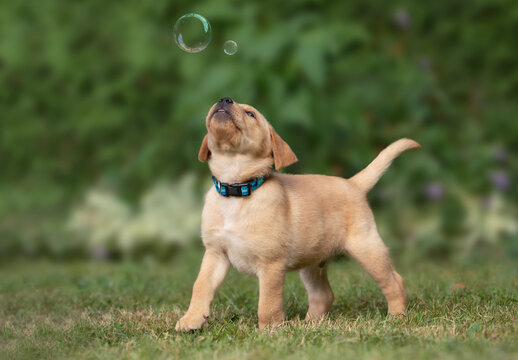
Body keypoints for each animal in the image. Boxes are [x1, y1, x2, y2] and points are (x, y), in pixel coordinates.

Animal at [177, 97, 420, 330]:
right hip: (313, 262)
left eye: (250, 113)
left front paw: (270, 330)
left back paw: (397, 317)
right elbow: (200, 287)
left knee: (394, 281)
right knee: (324, 295)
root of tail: (353, 184)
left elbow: (267, 303)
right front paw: (191, 320)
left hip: (367, 248)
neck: (237, 190)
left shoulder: (271, 264)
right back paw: (308, 324)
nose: (224, 100)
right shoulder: (215, 254)